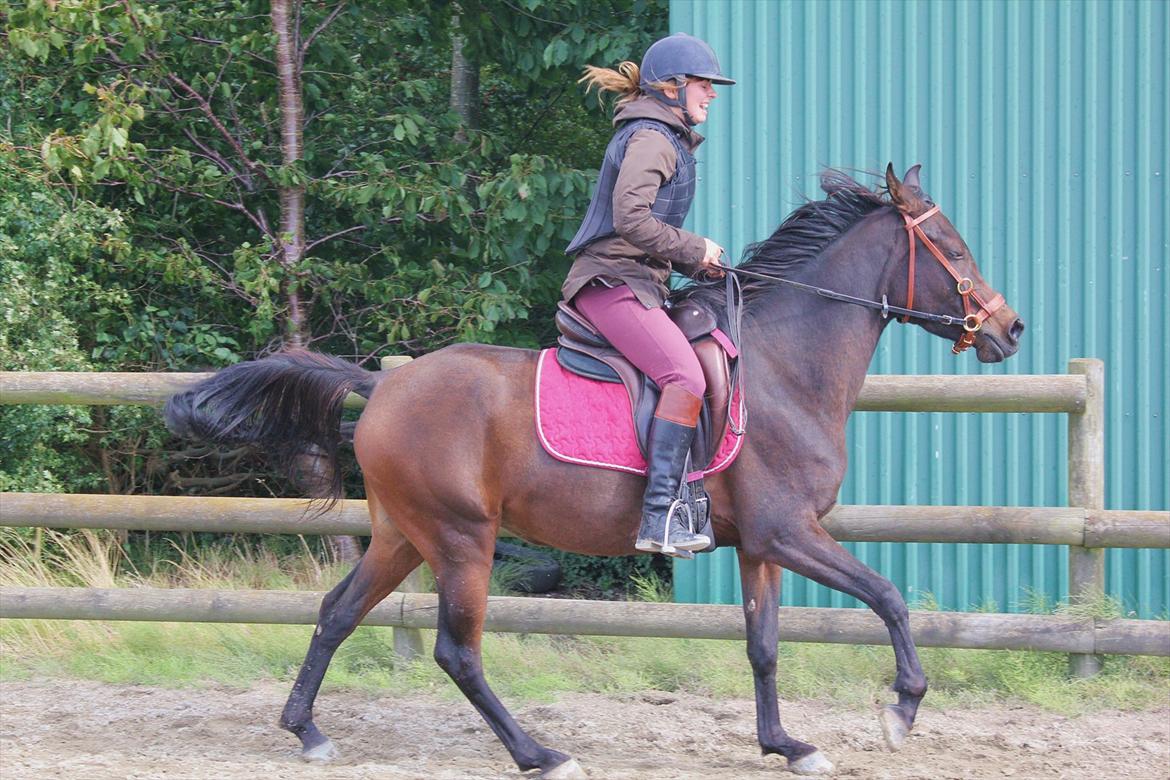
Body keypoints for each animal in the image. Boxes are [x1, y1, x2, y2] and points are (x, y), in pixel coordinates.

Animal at [164, 163, 1024, 776]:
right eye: (951, 249)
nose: (1010, 328)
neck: (786, 366)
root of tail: (384, 386)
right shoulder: (789, 533)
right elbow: (888, 598)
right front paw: (901, 711)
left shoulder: (760, 546)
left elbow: (765, 646)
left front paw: (788, 745)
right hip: (461, 540)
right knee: (457, 651)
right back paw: (541, 755)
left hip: (404, 536)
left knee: (338, 612)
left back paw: (306, 730)